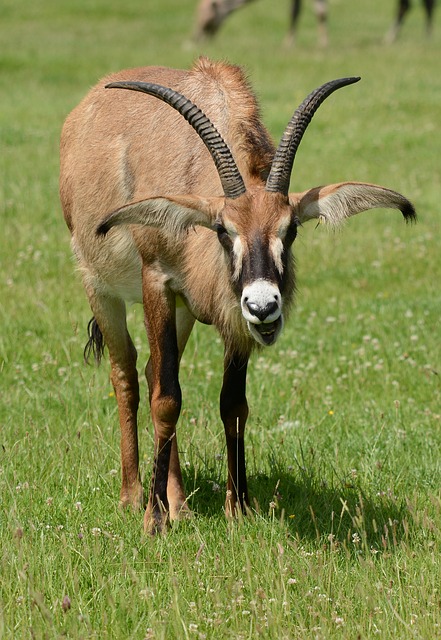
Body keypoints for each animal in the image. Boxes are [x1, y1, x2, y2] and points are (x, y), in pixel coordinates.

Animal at [59, 57, 416, 532]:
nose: (264, 306)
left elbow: (232, 403)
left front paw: (238, 507)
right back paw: (134, 496)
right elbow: (167, 400)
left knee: (155, 371)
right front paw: (154, 521)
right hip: (101, 291)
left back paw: (180, 503)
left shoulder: (234, 322)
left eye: (291, 228)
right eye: (223, 229)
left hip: (183, 310)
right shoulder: (158, 283)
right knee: (129, 377)